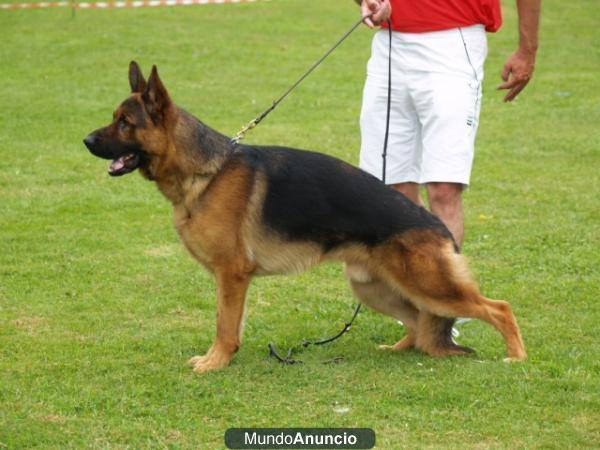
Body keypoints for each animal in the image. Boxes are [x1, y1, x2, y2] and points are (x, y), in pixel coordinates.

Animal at [83, 62, 524, 372]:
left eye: (125, 123)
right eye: (114, 117)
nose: (85, 140)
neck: (207, 170)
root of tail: (440, 228)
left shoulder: (232, 274)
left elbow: (225, 325)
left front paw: (215, 362)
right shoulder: (231, 279)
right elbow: (230, 323)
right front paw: (221, 358)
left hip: (427, 285)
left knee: (498, 307)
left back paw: (516, 356)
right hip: (373, 287)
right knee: (418, 323)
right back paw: (400, 349)